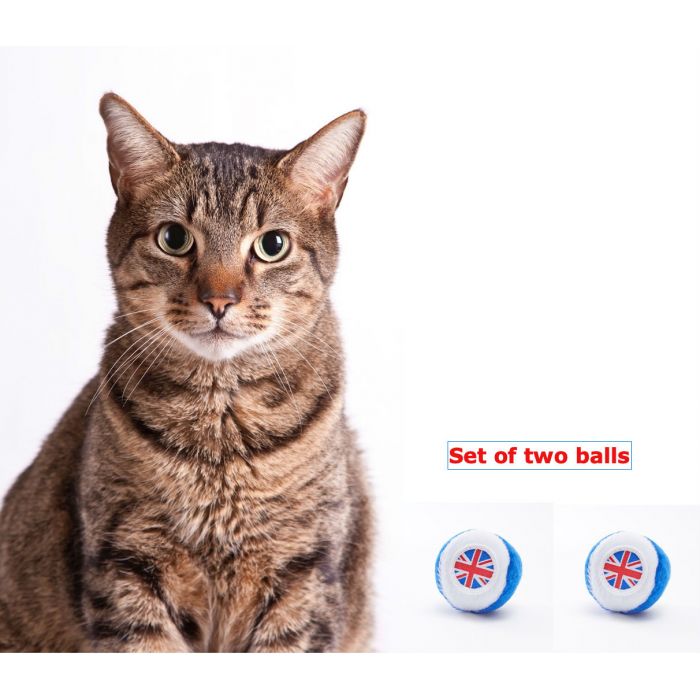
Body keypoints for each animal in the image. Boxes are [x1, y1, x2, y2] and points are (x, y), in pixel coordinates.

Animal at [0, 93, 372, 652]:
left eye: (273, 245)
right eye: (174, 238)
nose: (219, 299)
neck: (220, 430)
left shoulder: (305, 574)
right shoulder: (126, 569)